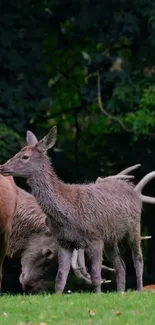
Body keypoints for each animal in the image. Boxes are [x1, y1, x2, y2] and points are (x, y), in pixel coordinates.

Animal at [0, 126, 155, 294]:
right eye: (18, 152)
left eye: (25, 157)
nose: (3, 167)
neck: (67, 212)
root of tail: (132, 189)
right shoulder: (64, 242)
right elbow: (60, 279)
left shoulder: (95, 237)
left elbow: (96, 276)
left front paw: (98, 295)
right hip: (110, 239)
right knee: (120, 265)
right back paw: (120, 292)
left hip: (134, 228)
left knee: (138, 258)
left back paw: (139, 289)